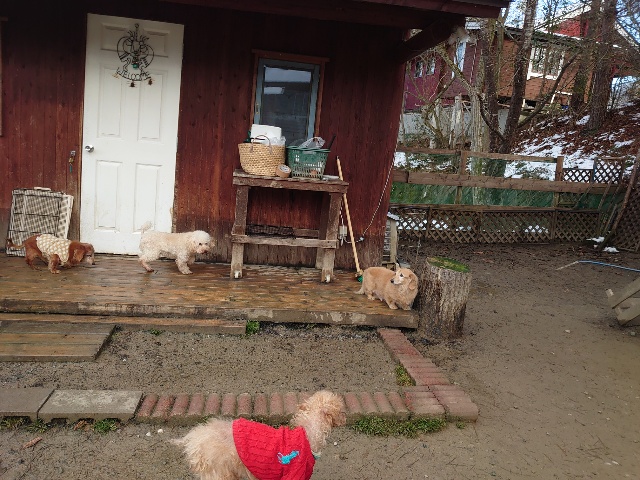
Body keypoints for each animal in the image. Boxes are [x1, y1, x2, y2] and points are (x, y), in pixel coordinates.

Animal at [173, 390, 346, 480]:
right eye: (341, 409)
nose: (345, 418)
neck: (308, 433)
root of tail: (192, 438)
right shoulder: (293, 474)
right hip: (219, 474)